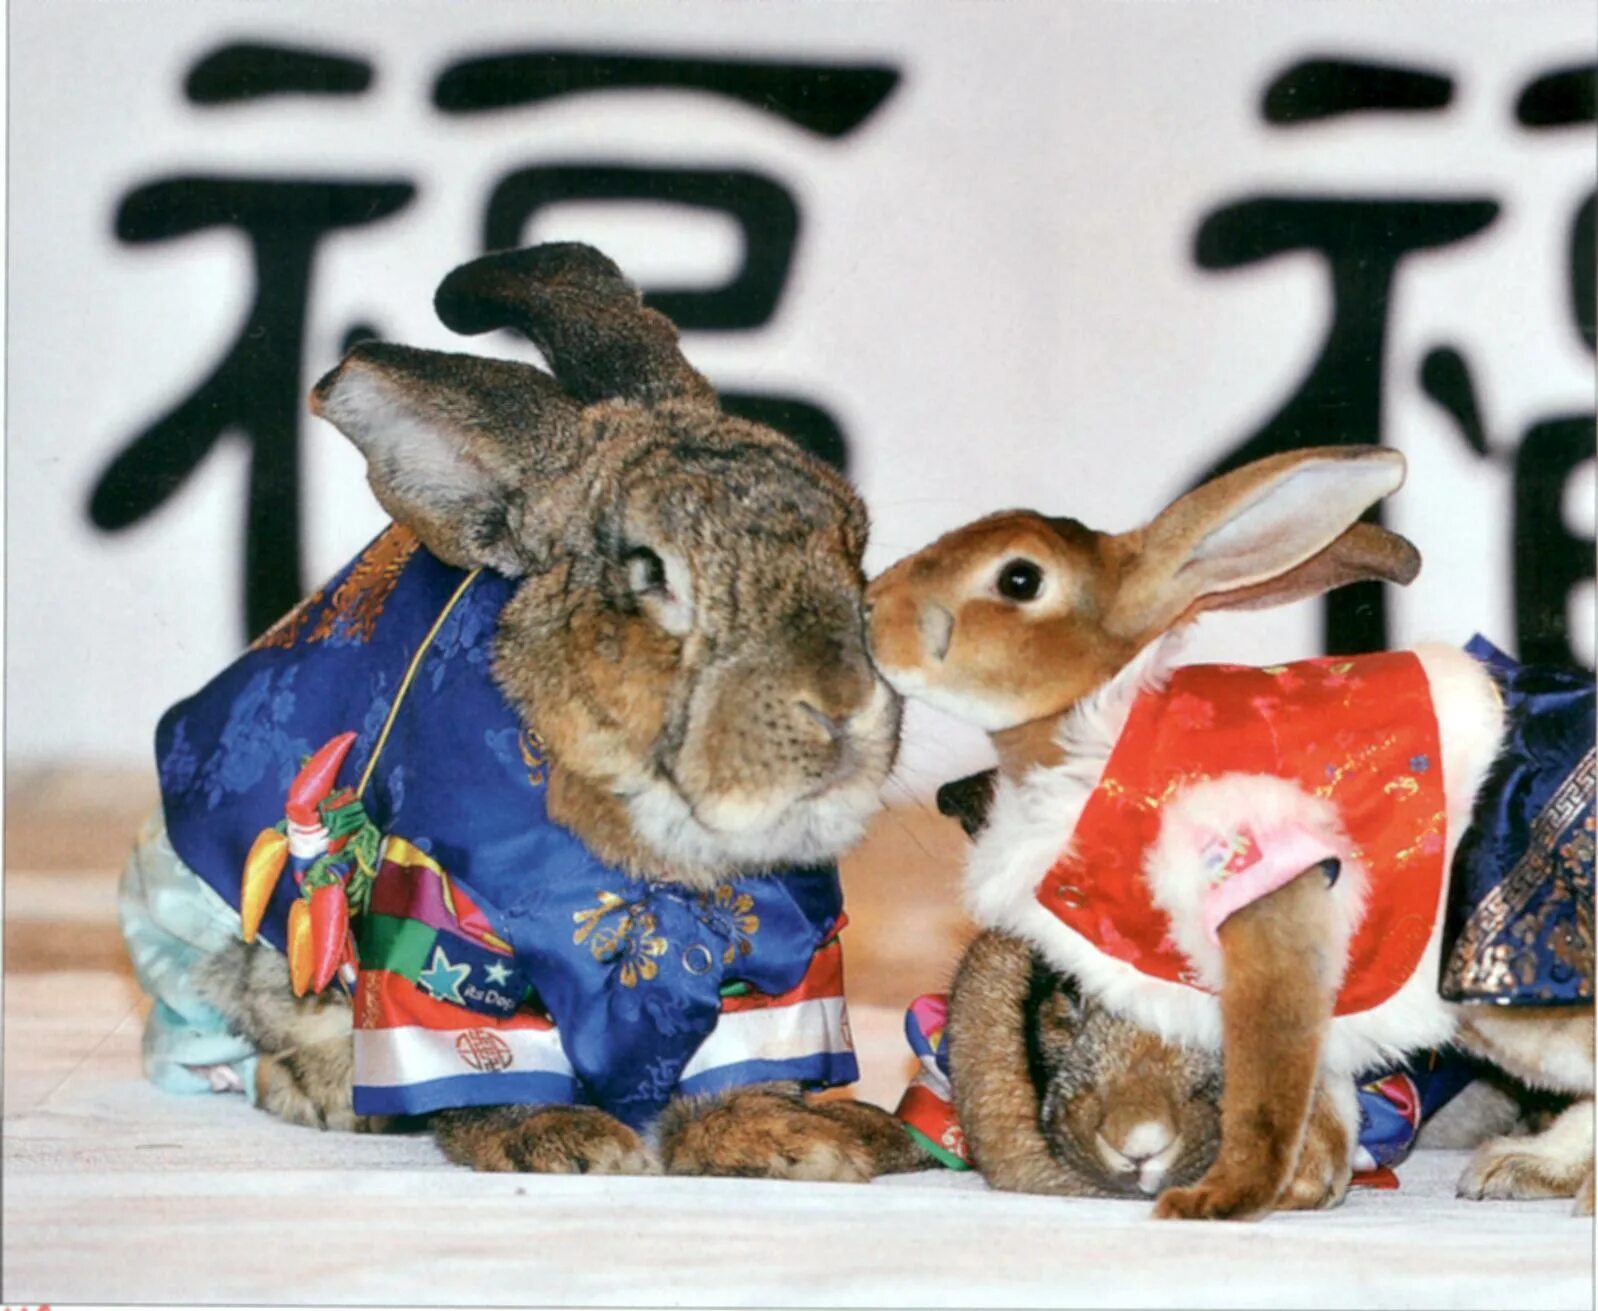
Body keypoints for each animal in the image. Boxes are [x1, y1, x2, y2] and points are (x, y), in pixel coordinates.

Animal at [121, 241, 926, 1183]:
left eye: (853, 544)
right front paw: (562, 1143)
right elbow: (480, 1046)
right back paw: (334, 1096)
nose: (843, 706)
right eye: (649, 570)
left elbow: (747, 1052)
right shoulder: (434, 920)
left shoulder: (778, 953)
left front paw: (785, 1135)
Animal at [869, 447, 1591, 1221]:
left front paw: (1222, 1198)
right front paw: (1306, 1185)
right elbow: (1320, 1098)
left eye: (1020, 578)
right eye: (1063, 992)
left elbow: (1274, 1097)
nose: (870, 608)